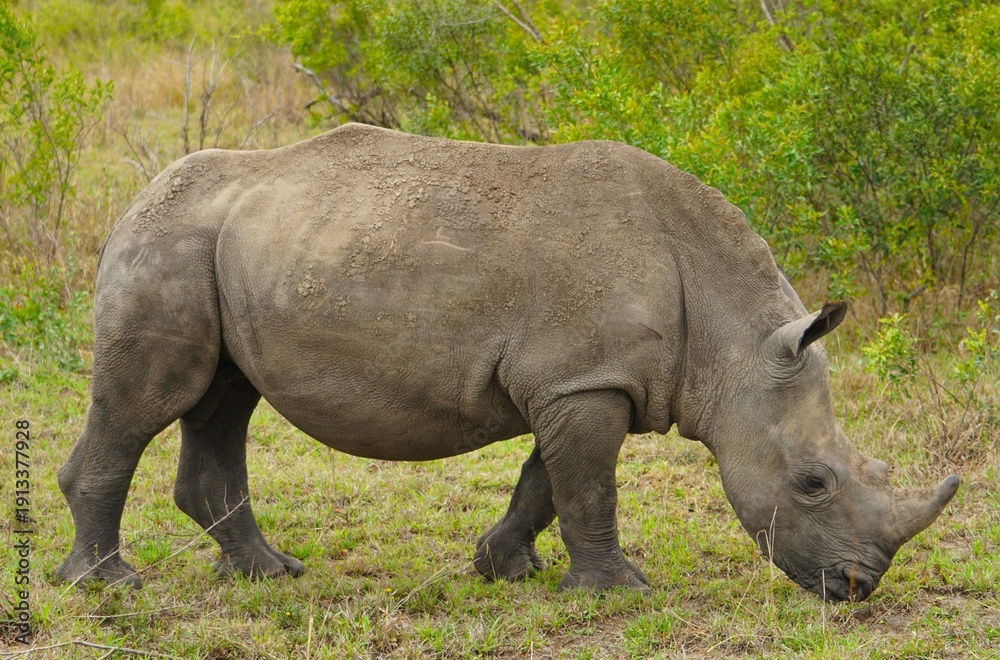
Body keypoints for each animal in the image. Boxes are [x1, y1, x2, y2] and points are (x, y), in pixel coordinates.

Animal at [58, 123, 958, 601]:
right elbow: (588, 486)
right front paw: (619, 592)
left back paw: (270, 574)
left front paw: (504, 569)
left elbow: (544, 483)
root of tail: (134, 200)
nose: (858, 588)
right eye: (812, 482)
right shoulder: (583, 380)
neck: (731, 342)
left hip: (221, 247)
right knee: (151, 403)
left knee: (224, 400)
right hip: (164, 244)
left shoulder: (578, 379)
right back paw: (106, 585)